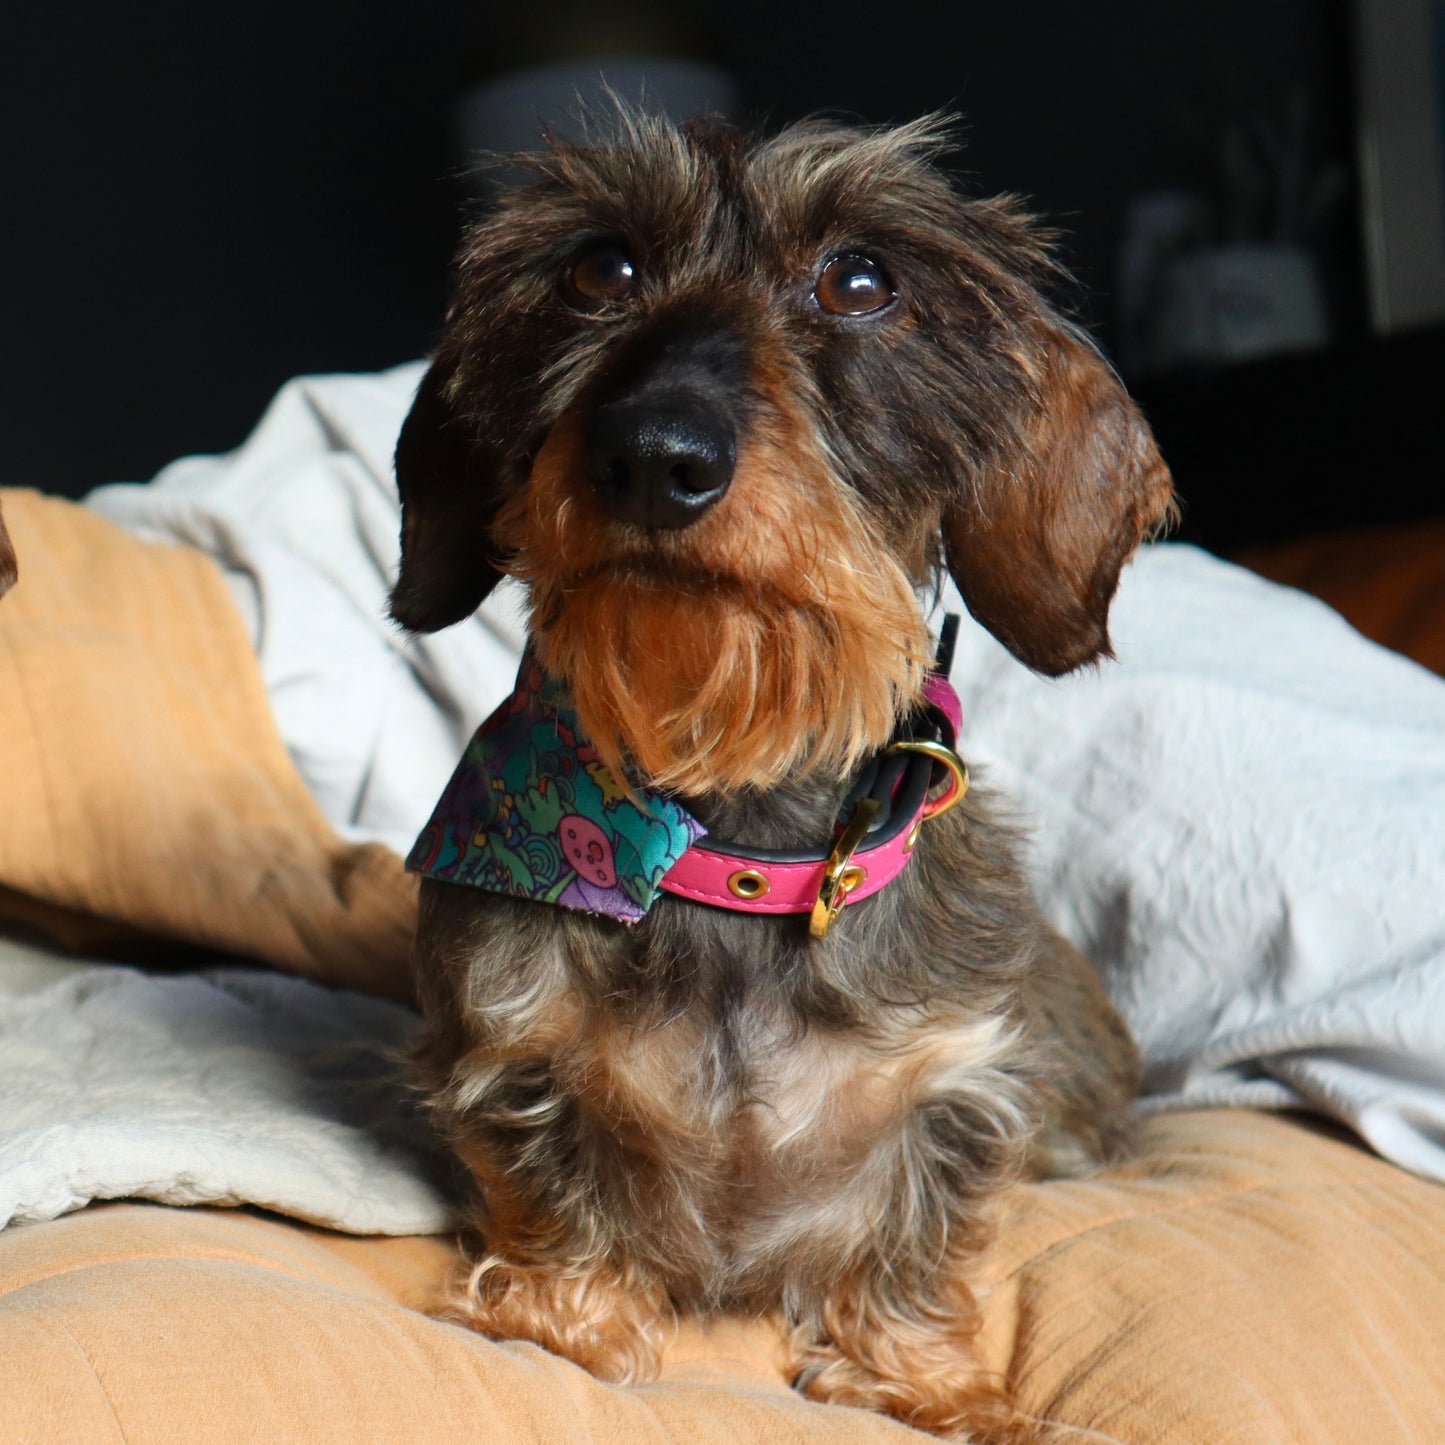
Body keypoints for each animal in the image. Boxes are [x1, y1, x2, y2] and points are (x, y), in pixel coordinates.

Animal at [393, 115, 1173, 1445]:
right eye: (597, 268)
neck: (735, 840)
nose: (654, 455)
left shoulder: (956, 1084)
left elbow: (920, 1239)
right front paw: (561, 1322)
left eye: (859, 280)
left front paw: (933, 1382)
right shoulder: (512, 1052)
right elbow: (558, 1193)